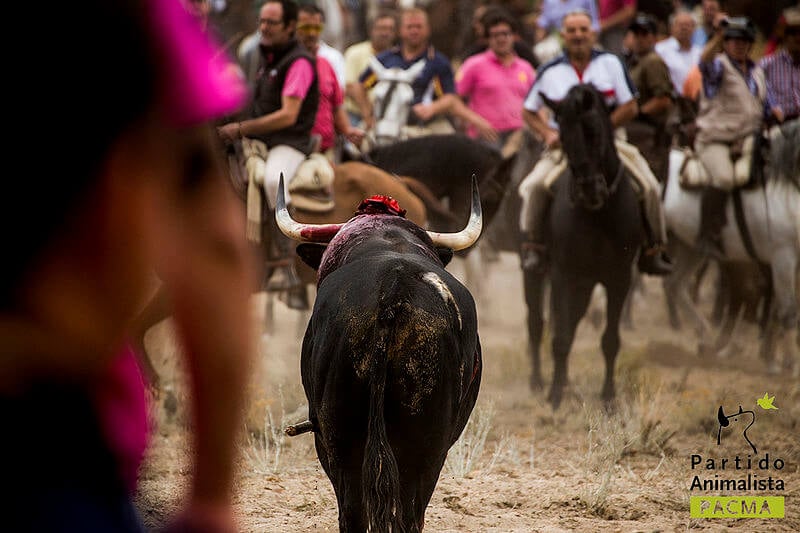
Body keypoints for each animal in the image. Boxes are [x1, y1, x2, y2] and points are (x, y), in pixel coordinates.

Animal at [524, 84, 644, 408]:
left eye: (593, 131)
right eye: (562, 136)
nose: (589, 189)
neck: (597, 215)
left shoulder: (619, 278)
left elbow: (610, 340)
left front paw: (608, 397)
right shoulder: (563, 274)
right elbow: (561, 337)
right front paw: (554, 396)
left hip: (588, 283)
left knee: (573, 319)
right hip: (537, 273)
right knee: (538, 323)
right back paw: (542, 381)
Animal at [664, 119, 800, 374]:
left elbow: (776, 307)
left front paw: (774, 359)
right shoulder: (782, 258)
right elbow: (787, 310)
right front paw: (789, 364)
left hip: (689, 246)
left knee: (675, 284)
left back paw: (706, 339)